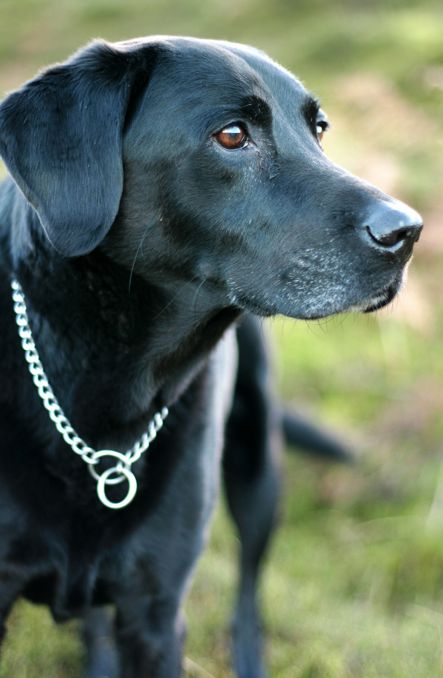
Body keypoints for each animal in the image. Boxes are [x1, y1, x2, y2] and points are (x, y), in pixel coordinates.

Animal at [0, 37, 422, 677]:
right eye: (231, 135)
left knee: (248, 588)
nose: (408, 232)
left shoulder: (156, 611)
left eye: (319, 129)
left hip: (258, 457)